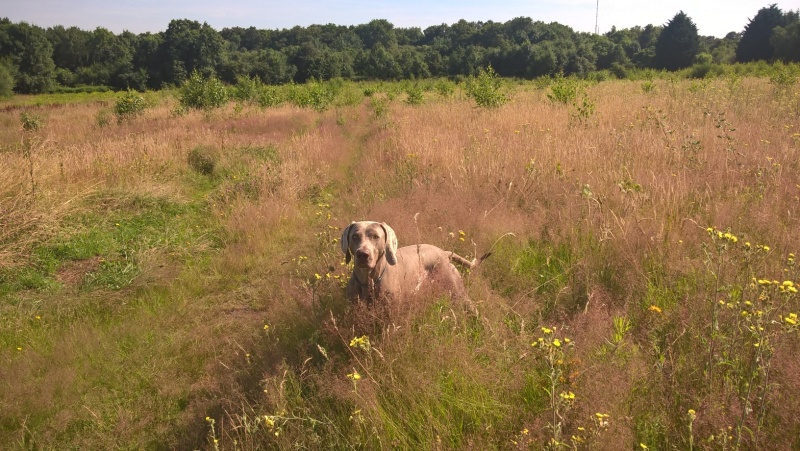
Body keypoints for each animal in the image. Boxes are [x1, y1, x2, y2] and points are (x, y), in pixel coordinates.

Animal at [340, 222, 488, 304]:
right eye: (355, 236)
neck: (368, 281)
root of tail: (444, 252)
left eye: (375, 236)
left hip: (458, 291)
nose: (362, 254)